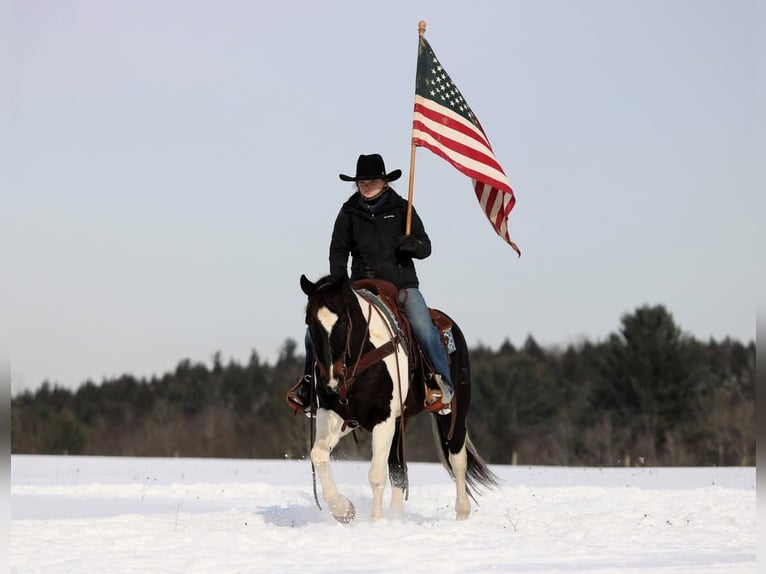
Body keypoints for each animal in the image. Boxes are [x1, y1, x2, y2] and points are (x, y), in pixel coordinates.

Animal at [299, 272, 497, 522]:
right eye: (310, 323)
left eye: (343, 320)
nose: (332, 379)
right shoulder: (335, 415)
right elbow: (318, 455)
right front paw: (344, 510)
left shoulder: (383, 419)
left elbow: (376, 474)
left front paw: (376, 522)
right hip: (400, 422)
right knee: (398, 469)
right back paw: (397, 517)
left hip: (455, 413)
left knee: (458, 460)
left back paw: (462, 514)